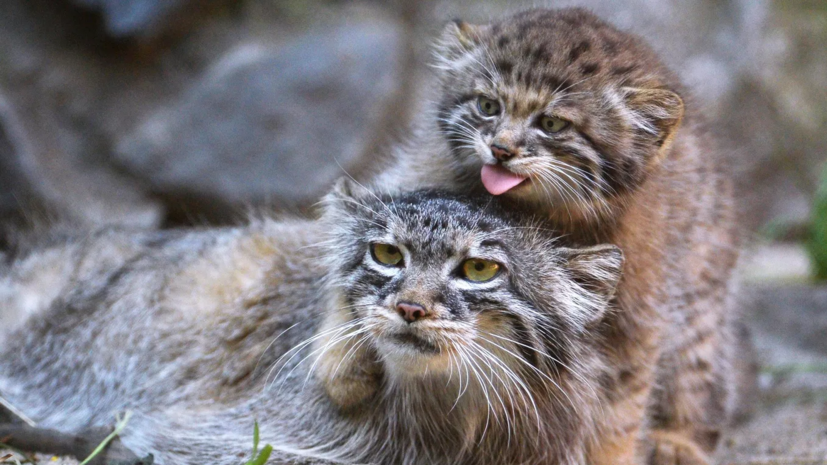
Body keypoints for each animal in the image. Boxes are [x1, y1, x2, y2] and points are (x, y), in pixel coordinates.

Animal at [376, 6, 752, 464]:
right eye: (487, 106)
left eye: (552, 123)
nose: (500, 149)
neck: (544, 215)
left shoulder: (635, 321)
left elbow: (619, 409)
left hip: (701, 296)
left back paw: (678, 440)